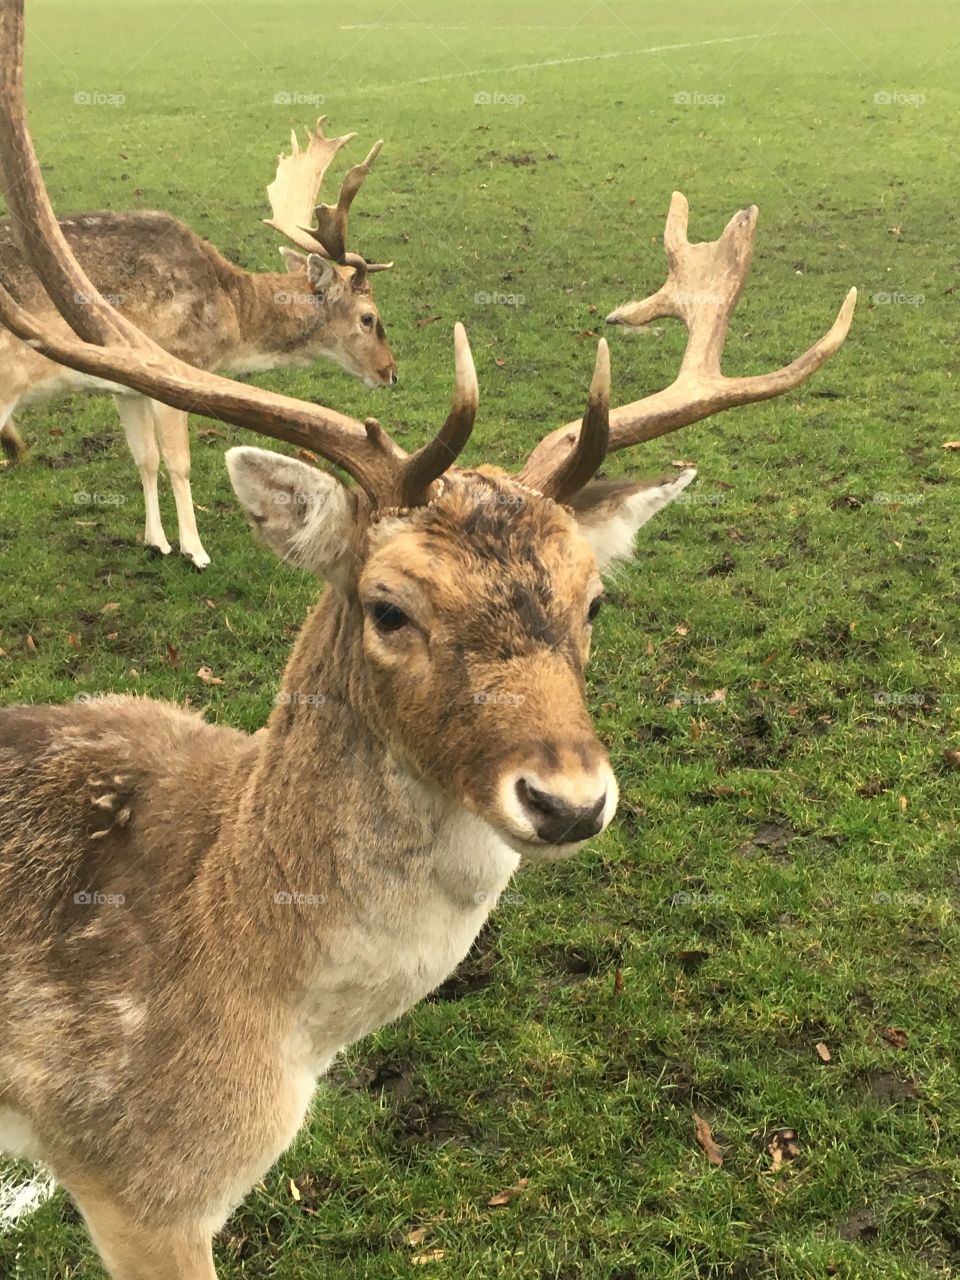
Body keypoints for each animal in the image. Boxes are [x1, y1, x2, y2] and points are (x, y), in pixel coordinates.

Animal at [0, 115, 397, 567]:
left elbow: (145, 458)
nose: (390, 372)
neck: (230, 311)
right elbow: (178, 462)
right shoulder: (176, 365)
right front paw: (195, 549)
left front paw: (155, 540)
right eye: (369, 318)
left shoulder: (125, 388)